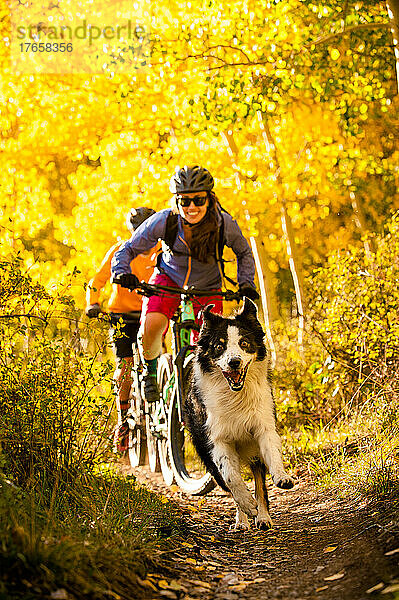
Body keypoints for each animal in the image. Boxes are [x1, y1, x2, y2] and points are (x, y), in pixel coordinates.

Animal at [184, 296, 294, 528]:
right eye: (219, 346)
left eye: (244, 343)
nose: (234, 362)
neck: (235, 396)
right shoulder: (217, 439)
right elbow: (231, 476)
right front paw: (246, 504)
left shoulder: (263, 426)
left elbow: (272, 457)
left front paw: (281, 477)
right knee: (228, 481)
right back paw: (242, 518)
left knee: (259, 483)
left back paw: (263, 517)